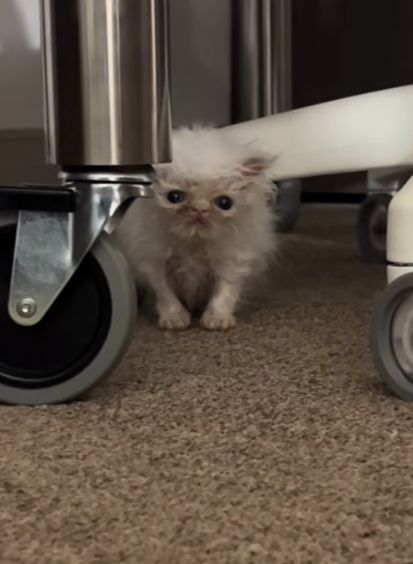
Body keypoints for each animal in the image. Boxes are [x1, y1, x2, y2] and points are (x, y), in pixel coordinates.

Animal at [116, 126, 276, 330]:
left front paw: (217, 320)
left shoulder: (232, 261)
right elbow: (166, 295)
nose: (199, 209)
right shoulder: (154, 262)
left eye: (224, 203)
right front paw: (175, 319)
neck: (193, 243)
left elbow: (224, 293)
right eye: (175, 197)